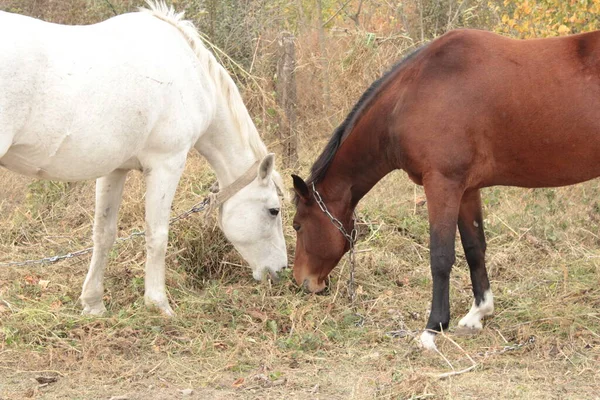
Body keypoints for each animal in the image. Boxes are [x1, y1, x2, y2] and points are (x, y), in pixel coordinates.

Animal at [0, 1, 288, 318]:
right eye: (273, 210)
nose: (281, 269)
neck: (191, 72)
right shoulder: (167, 164)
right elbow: (157, 235)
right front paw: (159, 304)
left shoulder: (114, 170)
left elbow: (103, 234)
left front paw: (93, 304)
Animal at [292, 28, 600, 348]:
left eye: (297, 226)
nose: (302, 281)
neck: (411, 95)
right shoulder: (467, 190)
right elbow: (474, 247)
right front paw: (478, 314)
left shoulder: (442, 184)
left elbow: (440, 256)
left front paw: (433, 328)